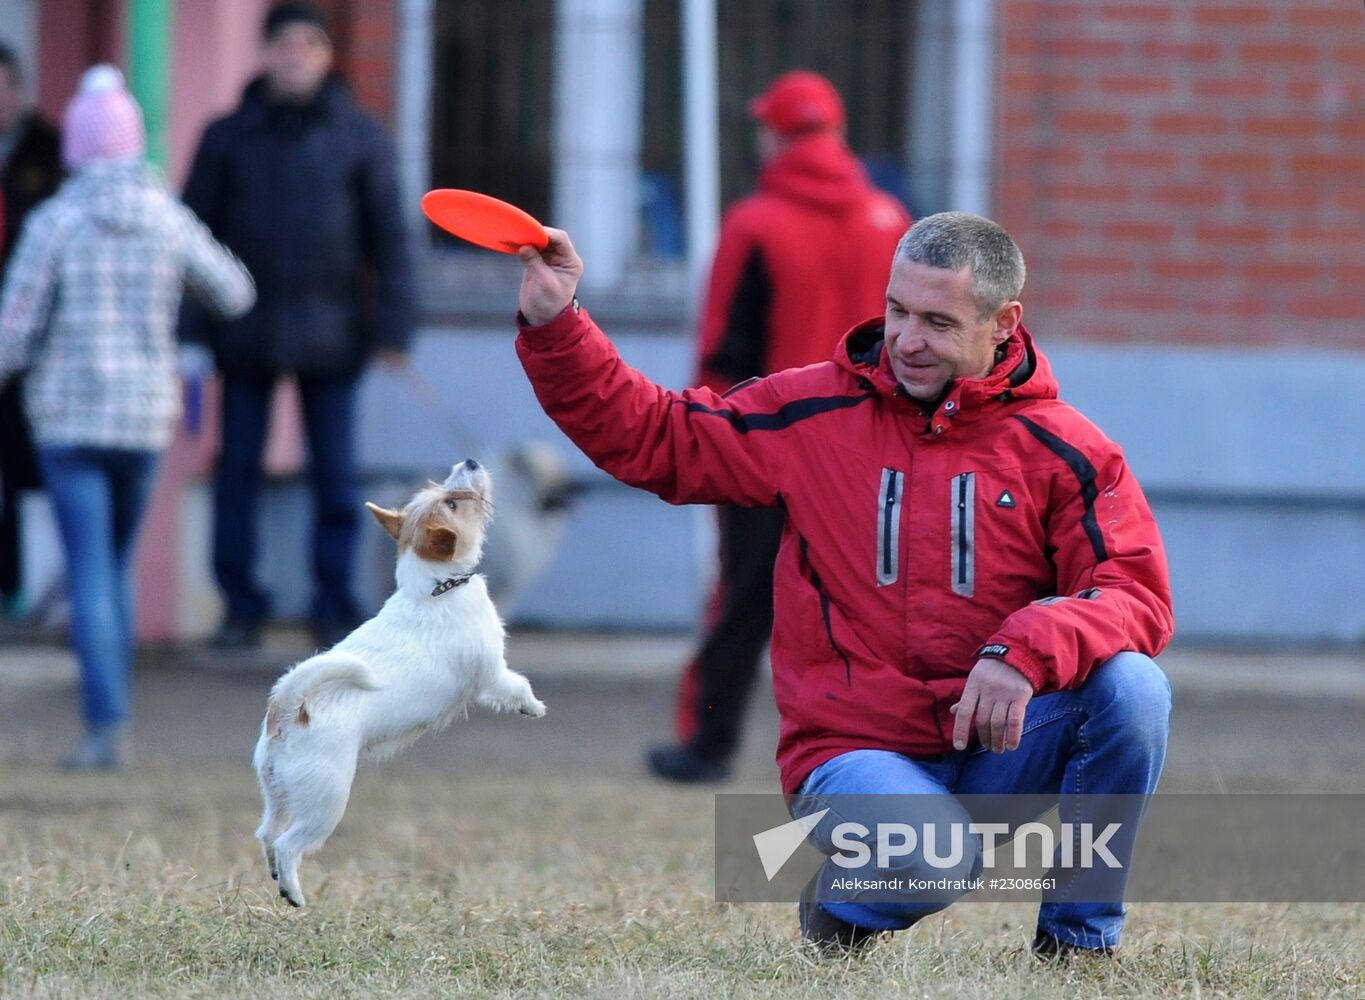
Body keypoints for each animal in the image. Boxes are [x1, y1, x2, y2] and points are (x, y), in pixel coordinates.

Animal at [251, 461, 543, 905]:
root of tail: (289, 709)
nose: (470, 462)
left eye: (441, 491)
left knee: (267, 833)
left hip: (276, 792)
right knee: (288, 844)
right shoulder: (493, 672)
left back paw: (277, 878)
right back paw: (294, 891)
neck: (435, 589)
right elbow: (515, 685)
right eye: (452, 502)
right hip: (325, 801)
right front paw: (532, 707)